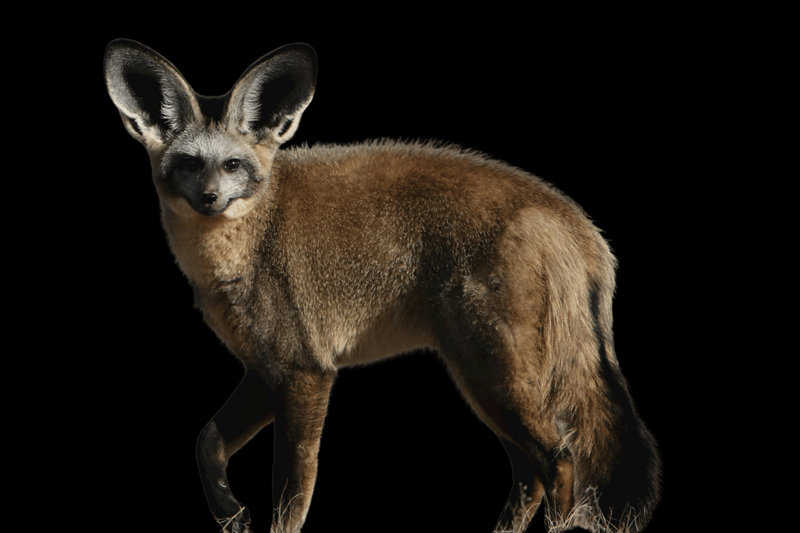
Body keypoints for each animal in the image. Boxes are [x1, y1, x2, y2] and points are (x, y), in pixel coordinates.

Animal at [103, 39, 661, 533]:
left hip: (495, 378)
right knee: (531, 474)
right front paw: (230, 514)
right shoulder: (266, 370)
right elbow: (206, 443)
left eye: (232, 165)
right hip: (483, 383)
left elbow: (289, 495)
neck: (250, 244)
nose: (210, 199)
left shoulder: (307, 372)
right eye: (189, 164)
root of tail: (575, 220)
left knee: (559, 460)